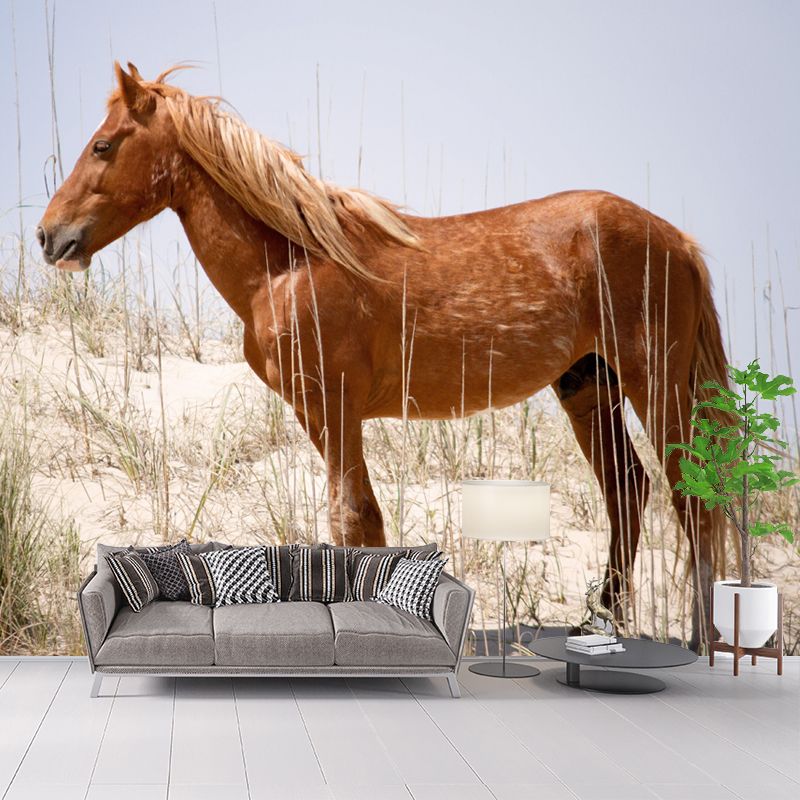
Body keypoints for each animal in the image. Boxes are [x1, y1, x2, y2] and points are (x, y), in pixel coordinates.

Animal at [37, 63, 729, 649]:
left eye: (103, 146)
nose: (49, 236)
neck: (289, 264)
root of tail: (679, 240)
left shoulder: (335, 407)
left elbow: (347, 519)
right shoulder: (321, 416)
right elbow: (366, 523)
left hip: (656, 385)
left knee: (691, 496)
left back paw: (703, 641)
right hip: (588, 387)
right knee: (628, 490)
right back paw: (602, 623)